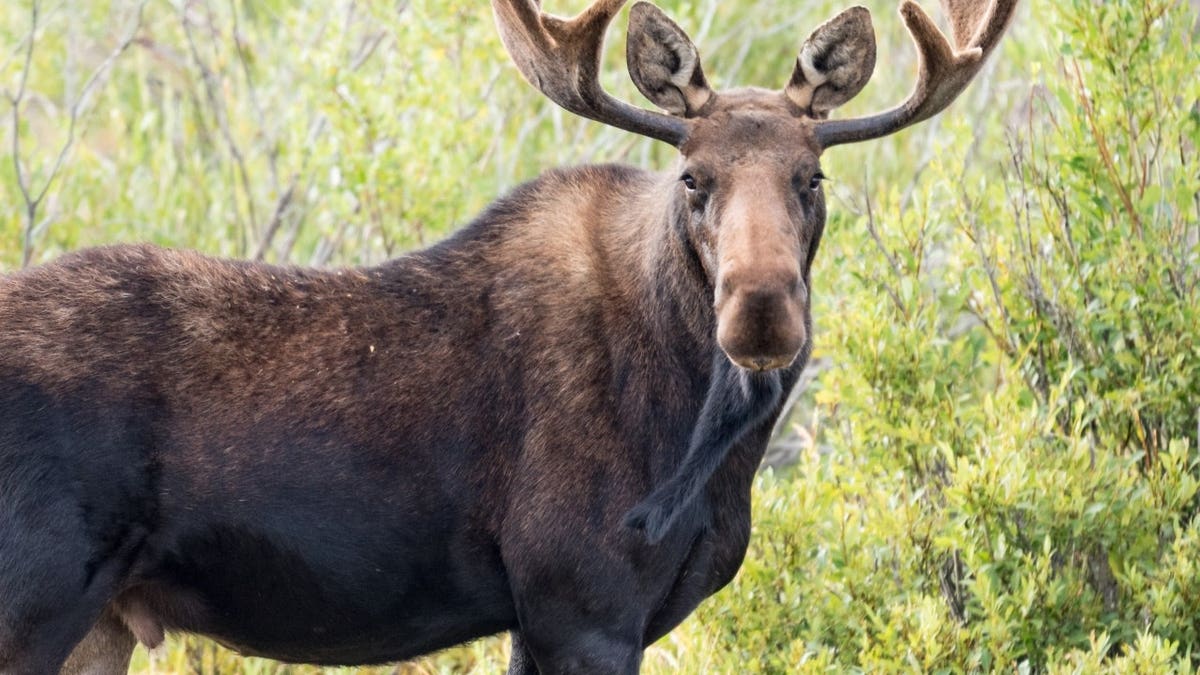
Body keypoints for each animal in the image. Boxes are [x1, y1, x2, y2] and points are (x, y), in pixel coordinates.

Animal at [0, 0, 1018, 673]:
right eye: (693, 176)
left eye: (813, 176)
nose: (761, 309)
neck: (712, 449)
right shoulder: (578, 600)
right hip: (35, 600)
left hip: (98, 622)